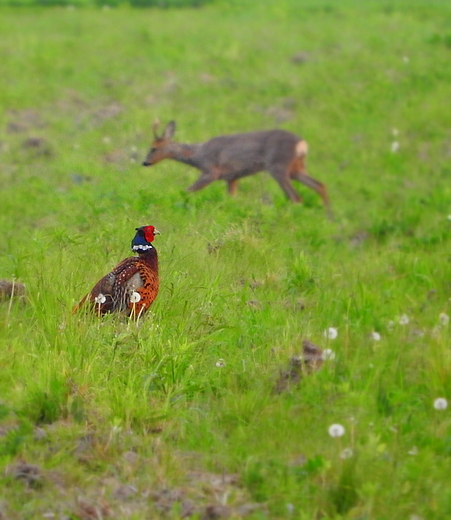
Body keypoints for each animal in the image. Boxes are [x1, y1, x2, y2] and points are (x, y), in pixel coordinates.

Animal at [143, 120, 334, 217]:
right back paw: (328, 218)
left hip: (278, 166)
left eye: (153, 148)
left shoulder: (212, 171)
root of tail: (302, 144)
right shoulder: (232, 177)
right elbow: (231, 199)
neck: (197, 155)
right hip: (296, 168)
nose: (145, 162)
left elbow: (188, 190)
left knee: (296, 197)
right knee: (320, 185)